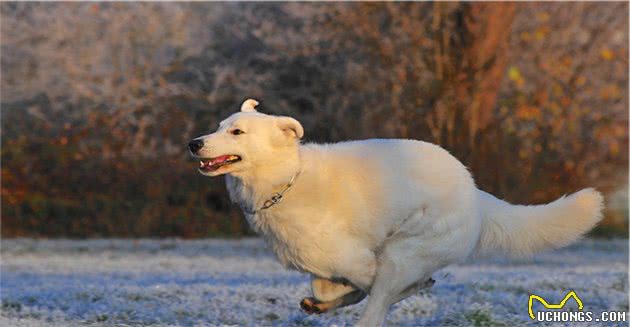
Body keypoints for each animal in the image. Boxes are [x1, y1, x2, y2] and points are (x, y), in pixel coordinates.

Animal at [189, 98, 608, 326]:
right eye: (219, 127)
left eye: (237, 133)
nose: (194, 143)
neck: (285, 180)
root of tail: (475, 193)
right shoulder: (327, 265)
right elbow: (332, 287)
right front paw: (322, 302)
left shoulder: (362, 261)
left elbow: (370, 289)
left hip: (401, 253)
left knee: (378, 307)